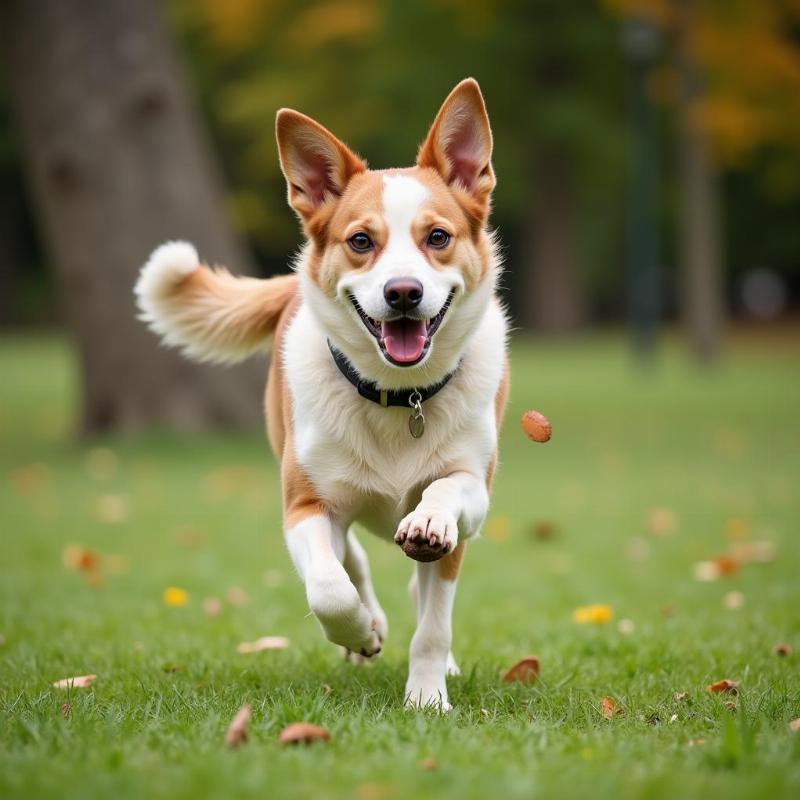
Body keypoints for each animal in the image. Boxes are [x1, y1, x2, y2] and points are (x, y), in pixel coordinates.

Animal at [131, 78, 506, 708]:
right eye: (360, 240)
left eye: (437, 237)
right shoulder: (303, 506)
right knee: (349, 559)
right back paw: (367, 627)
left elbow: (435, 603)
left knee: (419, 588)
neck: (399, 398)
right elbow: (329, 588)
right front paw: (360, 631)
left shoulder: (475, 495)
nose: (403, 292)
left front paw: (427, 697)